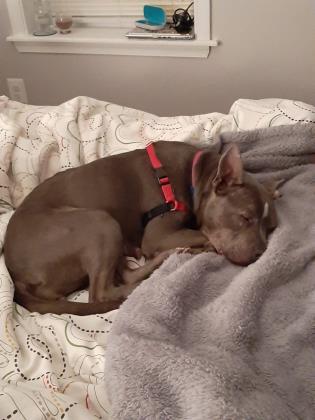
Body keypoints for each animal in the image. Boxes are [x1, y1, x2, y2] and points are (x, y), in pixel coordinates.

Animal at [3, 141, 278, 316]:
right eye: (245, 218)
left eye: (271, 228)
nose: (260, 254)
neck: (196, 177)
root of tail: (17, 277)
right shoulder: (158, 235)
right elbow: (201, 234)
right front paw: (205, 245)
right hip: (98, 222)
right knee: (102, 293)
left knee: (122, 274)